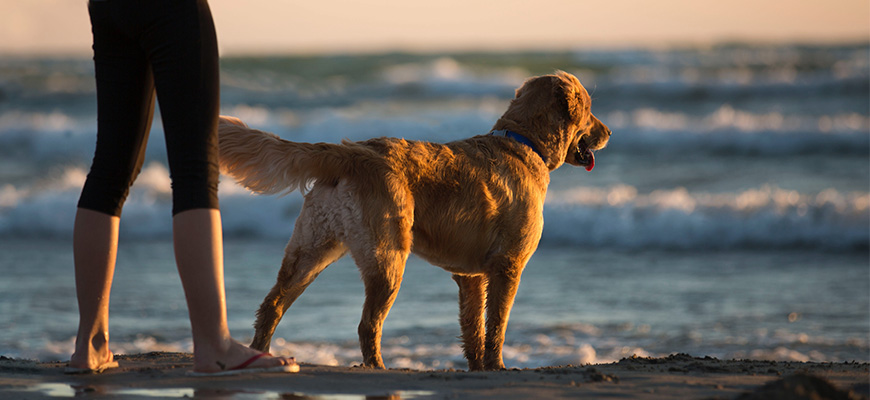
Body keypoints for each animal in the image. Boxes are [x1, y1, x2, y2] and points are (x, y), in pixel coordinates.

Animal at [218, 70, 612, 370]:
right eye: (590, 109)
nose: (608, 132)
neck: (523, 142)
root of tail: (351, 152)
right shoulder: (508, 266)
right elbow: (496, 325)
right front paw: (498, 366)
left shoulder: (471, 276)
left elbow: (473, 328)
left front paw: (477, 368)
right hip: (388, 257)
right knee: (367, 324)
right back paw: (377, 368)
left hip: (311, 250)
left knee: (272, 305)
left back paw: (261, 355)